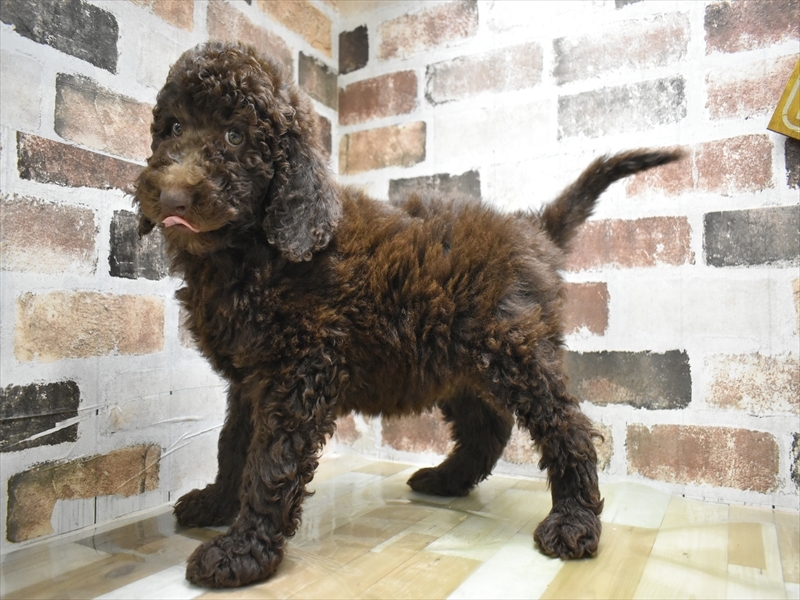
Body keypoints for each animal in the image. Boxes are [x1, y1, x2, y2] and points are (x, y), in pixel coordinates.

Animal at [134, 41, 682, 588]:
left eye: (235, 136)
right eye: (173, 128)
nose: (172, 196)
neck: (247, 252)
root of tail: (532, 227)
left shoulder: (301, 369)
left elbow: (272, 460)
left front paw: (242, 551)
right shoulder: (252, 374)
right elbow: (235, 442)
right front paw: (217, 503)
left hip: (516, 347)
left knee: (566, 426)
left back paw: (574, 522)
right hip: (457, 358)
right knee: (489, 425)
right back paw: (447, 479)